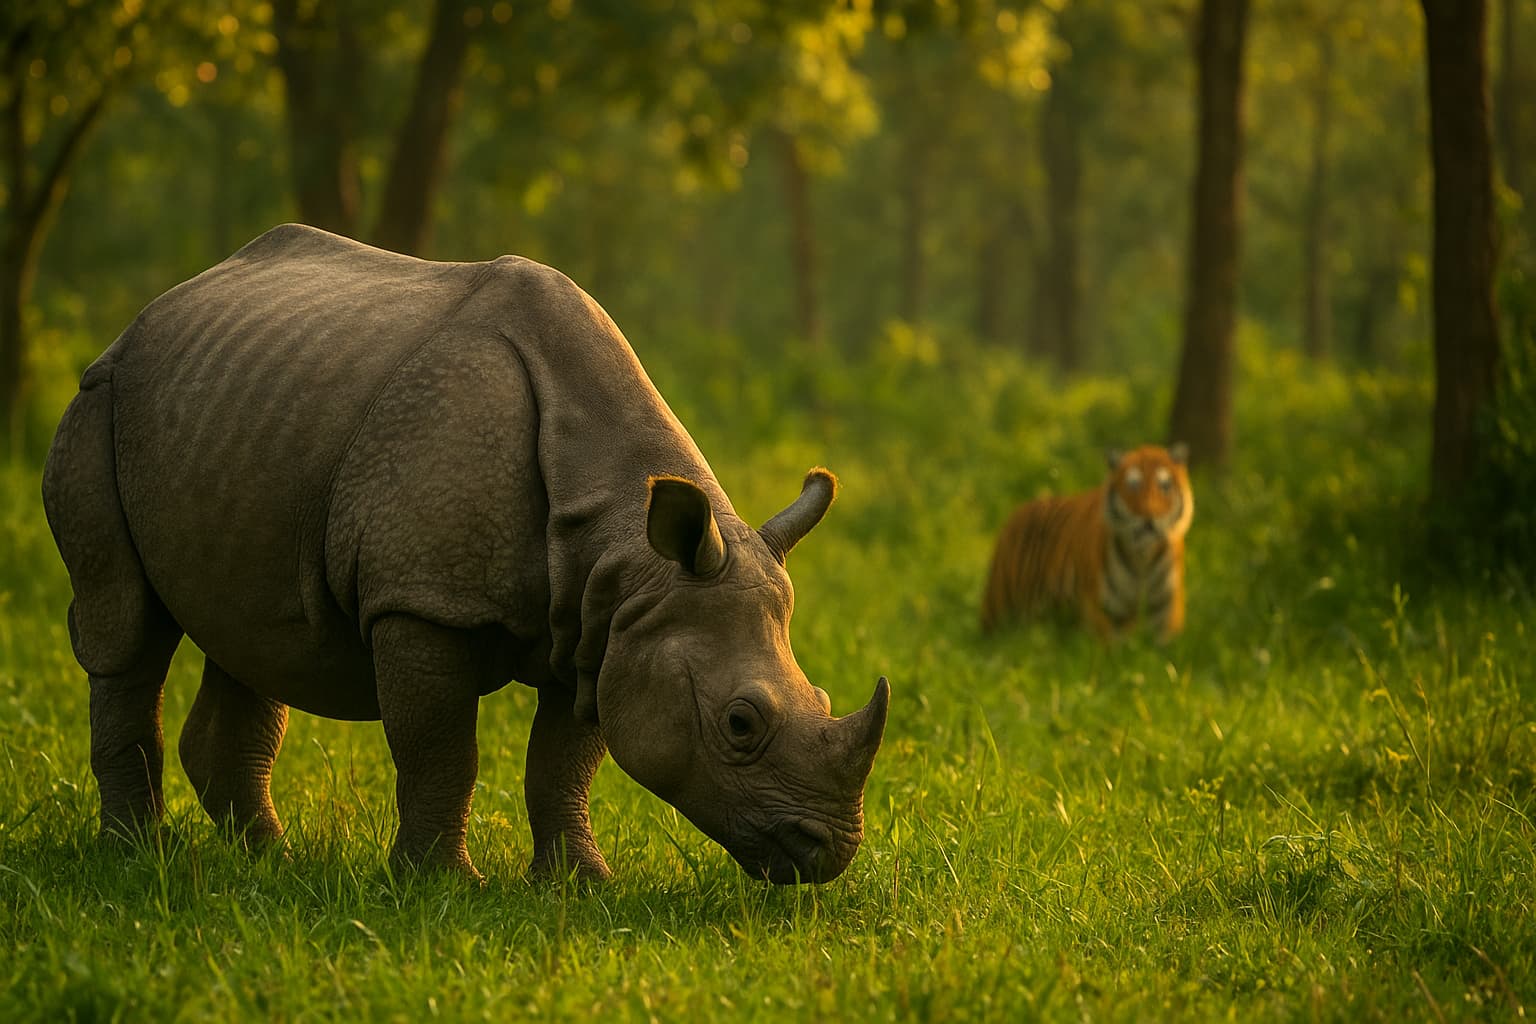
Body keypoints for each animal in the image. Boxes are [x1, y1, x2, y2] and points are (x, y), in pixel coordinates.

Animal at [41, 224, 889, 885]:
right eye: (741, 723)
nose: (826, 853)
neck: (626, 540)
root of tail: (155, 309)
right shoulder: (425, 602)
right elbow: (442, 749)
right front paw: (442, 886)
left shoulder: (606, 618)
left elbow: (563, 762)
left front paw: (579, 885)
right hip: (99, 398)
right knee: (126, 627)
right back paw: (136, 858)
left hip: (237, 412)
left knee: (254, 633)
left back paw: (266, 863)